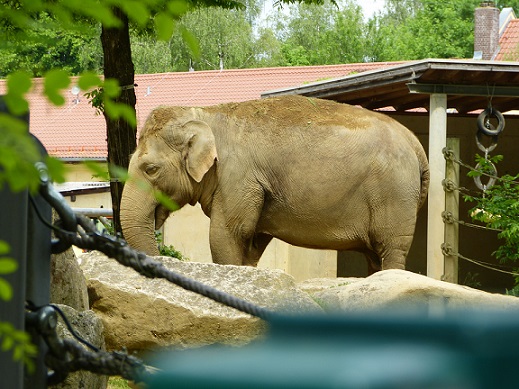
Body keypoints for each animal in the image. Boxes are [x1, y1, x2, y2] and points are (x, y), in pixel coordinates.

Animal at [121, 96, 430, 272]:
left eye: (151, 169)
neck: (204, 114)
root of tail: (417, 146)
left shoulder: (238, 175)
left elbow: (226, 235)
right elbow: (252, 242)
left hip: (394, 193)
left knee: (391, 249)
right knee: (375, 256)